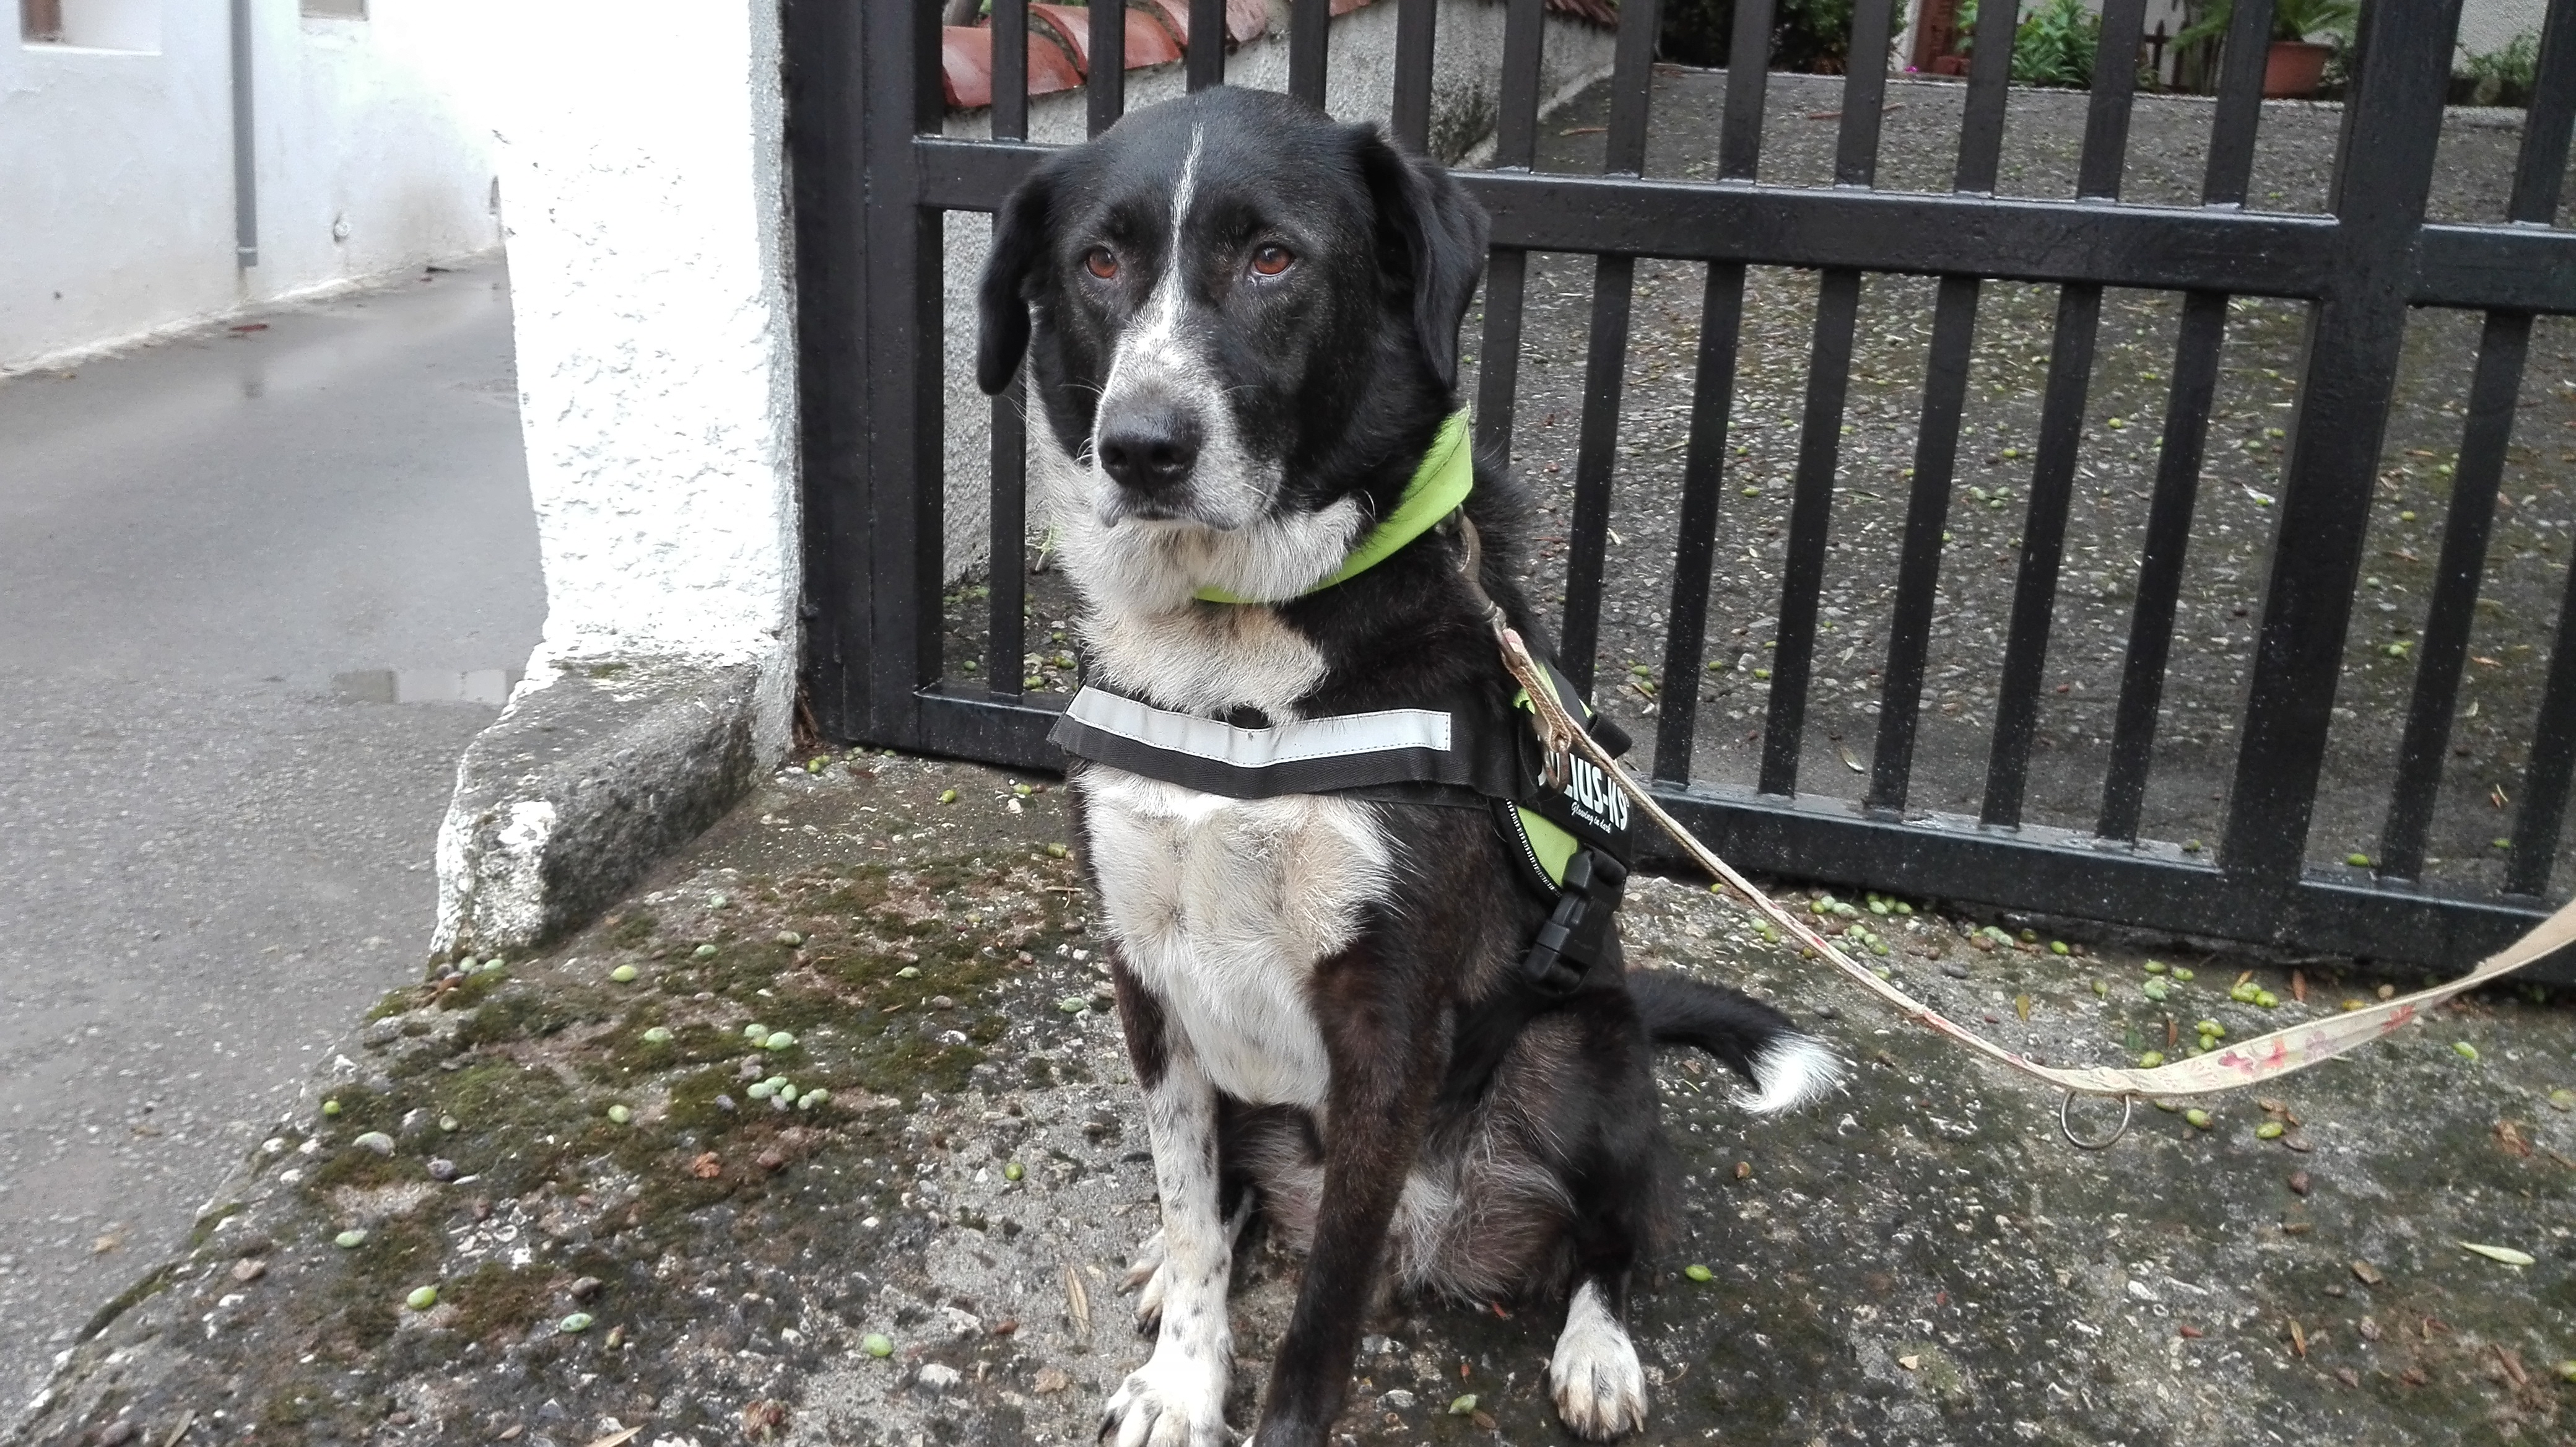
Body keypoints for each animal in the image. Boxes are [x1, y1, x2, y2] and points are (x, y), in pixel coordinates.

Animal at [974, 84, 1845, 1447]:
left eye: (1273, 259)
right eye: (1098, 264)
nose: (1142, 448)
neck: (1232, 648)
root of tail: (1446, 1237)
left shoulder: (1386, 1021)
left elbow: (1324, 1308)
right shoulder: (1147, 978)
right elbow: (1190, 1203)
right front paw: (1183, 1374)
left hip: (1585, 1058)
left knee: (1616, 1237)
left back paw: (1597, 1348)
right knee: (1227, 1202)